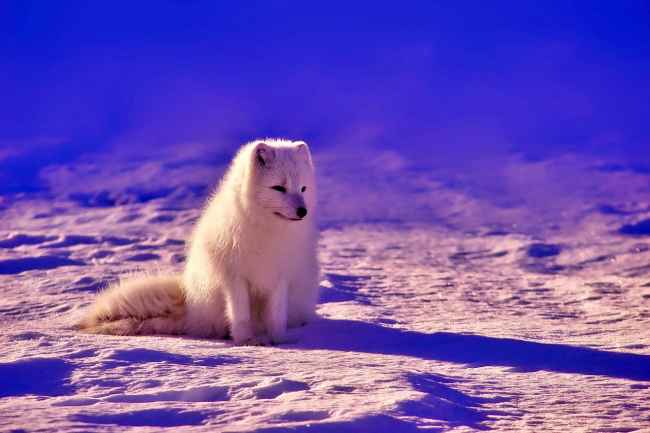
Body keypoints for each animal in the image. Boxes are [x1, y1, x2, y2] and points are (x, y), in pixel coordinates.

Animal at [77, 139, 320, 345]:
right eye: (279, 188)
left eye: (303, 188)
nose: (303, 211)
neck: (267, 230)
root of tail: (191, 308)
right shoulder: (234, 276)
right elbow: (240, 314)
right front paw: (246, 341)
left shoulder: (280, 276)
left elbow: (276, 316)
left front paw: (278, 340)